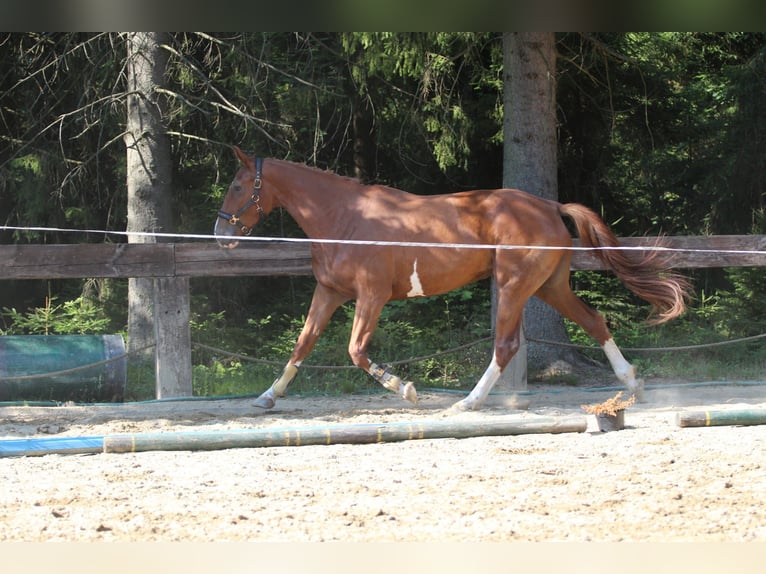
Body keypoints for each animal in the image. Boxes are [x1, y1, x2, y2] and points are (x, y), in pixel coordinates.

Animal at [214, 146, 688, 412]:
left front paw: (405, 388)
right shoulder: (329, 292)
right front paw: (268, 396)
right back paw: (634, 384)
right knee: (594, 321)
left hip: (514, 285)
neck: (344, 219)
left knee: (506, 344)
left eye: (237, 185)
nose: (220, 234)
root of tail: (549, 206)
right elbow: (303, 344)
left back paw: (469, 402)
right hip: (550, 285)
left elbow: (355, 351)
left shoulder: (371, 296)